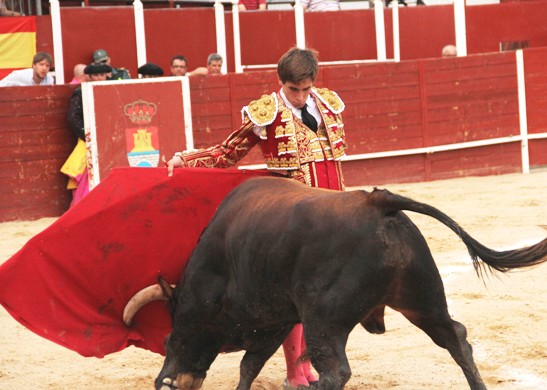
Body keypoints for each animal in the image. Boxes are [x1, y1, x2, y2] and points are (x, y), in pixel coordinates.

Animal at [124, 177, 547, 390]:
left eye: (169, 338)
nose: (164, 382)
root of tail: (380, 203)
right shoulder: (274, 320)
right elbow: (250, 365)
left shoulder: (267, 318)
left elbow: (249, 363)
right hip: (422, 299)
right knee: (456, 337)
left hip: (324, 319)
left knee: (335, 371)